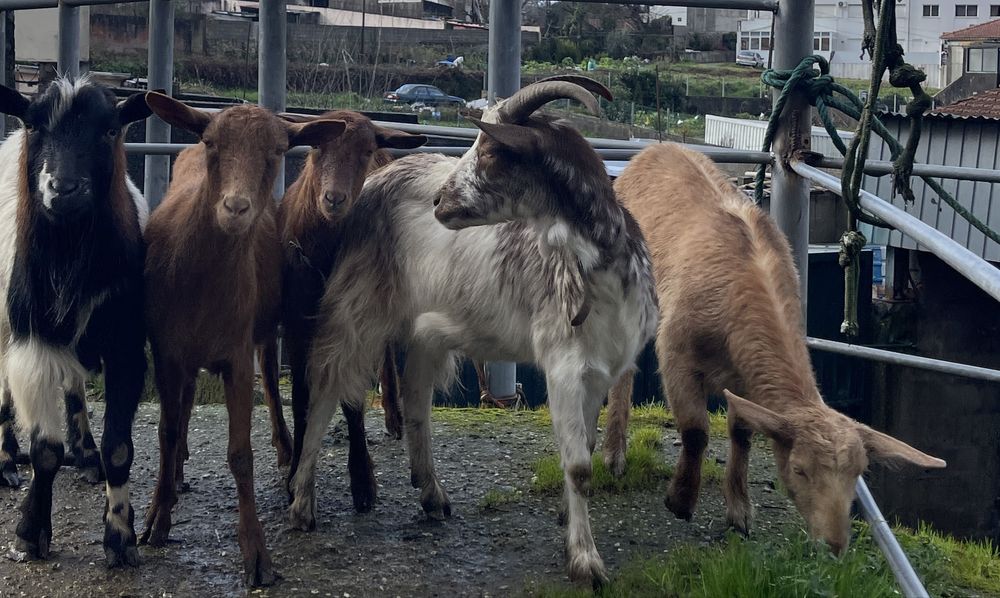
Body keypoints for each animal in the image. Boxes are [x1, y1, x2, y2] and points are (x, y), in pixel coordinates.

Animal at [0, 77, 151, 567]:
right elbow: (46, 451)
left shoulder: (127, 345)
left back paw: (85, 453)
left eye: (110, 130)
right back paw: (6, 460)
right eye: (33, 125)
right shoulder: (33, 344)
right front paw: (30, 532)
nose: (62, 188)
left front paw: (120, 536)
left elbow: (120, 448)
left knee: (73, 387)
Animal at [139, 92, 345, 586]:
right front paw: (156, 519)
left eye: (277, 152)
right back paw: (178, 472)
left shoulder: (235, 353)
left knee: (270, 376)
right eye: (212, 143)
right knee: (184, 406)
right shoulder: (165, 349)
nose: (235, 208)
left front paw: (256, 554)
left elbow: (240, 454)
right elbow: (165, 432)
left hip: (263, 327)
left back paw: (285, 447)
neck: (199, 285)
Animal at [262, 109, 425, 512]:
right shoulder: (297, 321)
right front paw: (295, 478)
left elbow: (353, 400)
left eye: (366, 151)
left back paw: (395, 416)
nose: (334, 199)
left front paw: (363, 481)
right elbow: (301, 396)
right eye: (317, 147)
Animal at [287, 78, 658, 584]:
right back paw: (302, 504)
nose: (439, 202)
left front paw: (568, 523)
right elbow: (580, 466)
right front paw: (586, 561)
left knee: (416, 398)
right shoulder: (562, 362)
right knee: (326, 388)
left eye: (493, 151)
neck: (599, 268)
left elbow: (585, 446)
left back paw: (431, 493)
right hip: (356, 306)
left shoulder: (600, 369)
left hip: (427, 330)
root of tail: (377, 181)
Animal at [603, 143, 946, 554]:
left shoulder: (745, 382)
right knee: (622, 371)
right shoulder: (677, 354)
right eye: (799, 469)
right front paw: (681, 500)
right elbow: (696, 430)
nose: (834, 544)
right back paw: (614, 453)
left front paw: (739, 512)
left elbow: (742, 434)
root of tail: (657, 147)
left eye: (858, 473)